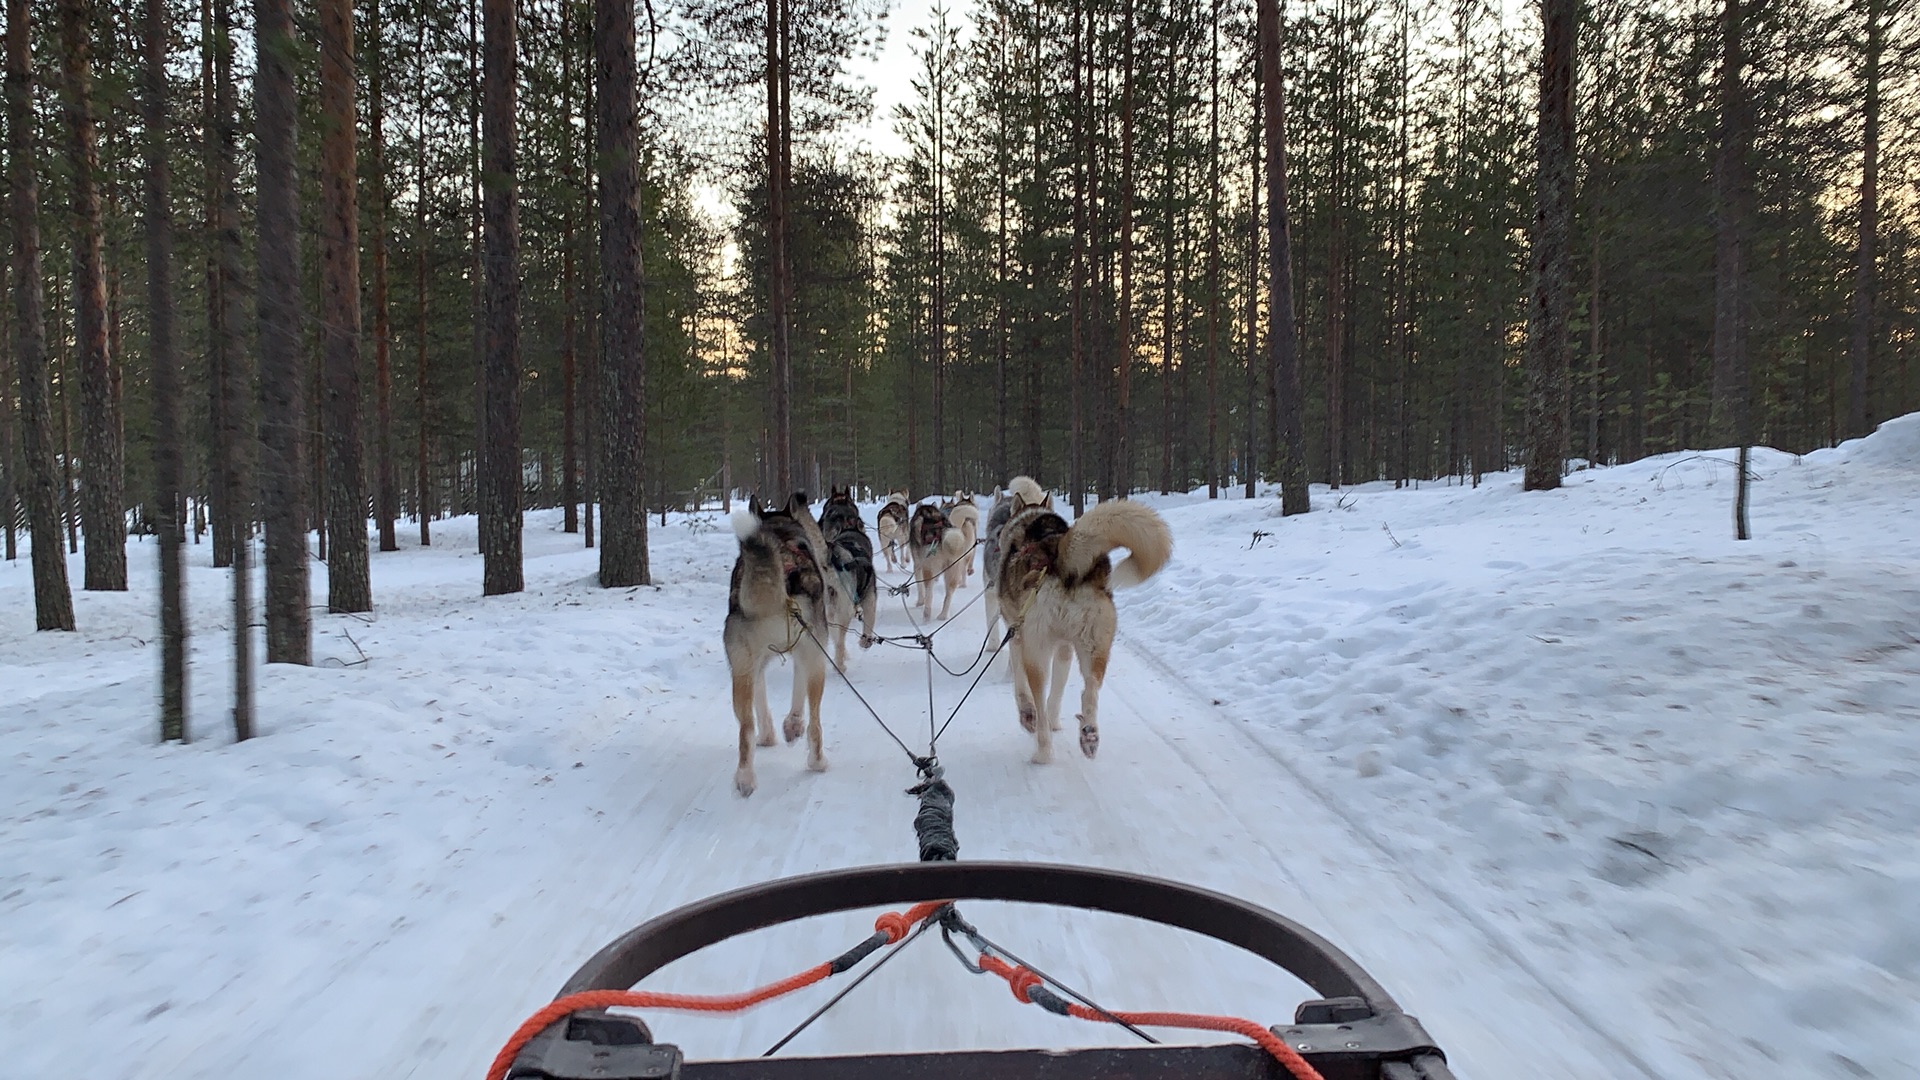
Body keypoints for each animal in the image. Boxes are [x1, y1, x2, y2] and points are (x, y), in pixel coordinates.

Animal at [721, 495, 829, 791]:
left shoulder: (756, 665)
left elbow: (761, 704)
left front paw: (774, 733)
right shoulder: (807, 652)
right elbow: (797, 697)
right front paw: (790, 727)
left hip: (741, 669)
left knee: (746, 727)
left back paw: (745, 778)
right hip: (816, 660)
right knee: (815, 721)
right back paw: (817, 761)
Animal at [817, 486, 879, 664]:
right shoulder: (870, 599)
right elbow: (869, 623)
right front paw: (865, 641)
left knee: (834, 638)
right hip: (844, 610)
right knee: (839, 640)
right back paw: (840, 663)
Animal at [990, 491, 1167, 760]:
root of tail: (1063, 559)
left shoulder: (1017, 638)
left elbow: (1022, 688)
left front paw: (1028, 716)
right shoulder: (1065, 649)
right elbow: (1058, 692)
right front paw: (1056, 721)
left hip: (1037, 650)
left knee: (1040, 698)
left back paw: (1043, 751)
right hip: (1095, 647)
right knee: (1090, 690)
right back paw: (1089, 734)